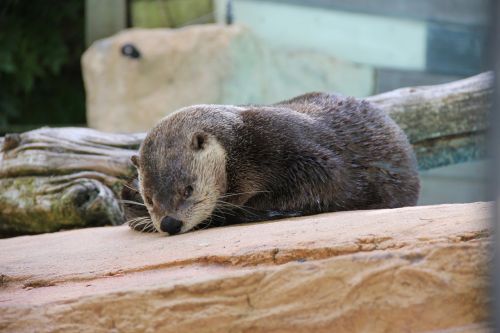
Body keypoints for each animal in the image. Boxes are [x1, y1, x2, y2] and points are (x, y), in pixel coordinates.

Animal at [121, 92, 418, 235]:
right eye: (149, 199)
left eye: (188, 189)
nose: (170, 224)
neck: (242, 147)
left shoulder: (294, 149)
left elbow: (329, 181)